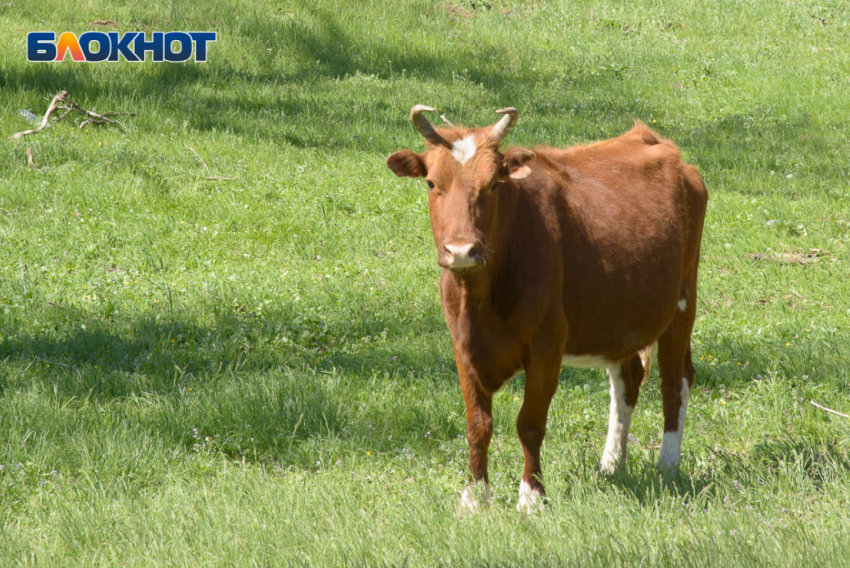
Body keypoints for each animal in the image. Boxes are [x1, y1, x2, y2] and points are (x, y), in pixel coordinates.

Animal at [384, 106, 704, 516]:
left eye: (494, 184)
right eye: (430, 183)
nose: (461, 250)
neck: (482, 301)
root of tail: (652, 140)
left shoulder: (547, 346)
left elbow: (530, 424)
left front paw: (532, 496)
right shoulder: (462, 346)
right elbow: (478, 425)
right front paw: (473, 496)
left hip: (682, 303)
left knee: (675, 381)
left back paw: (667, 465)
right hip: (620, 317)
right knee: (627, 379)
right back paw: (611, 464)